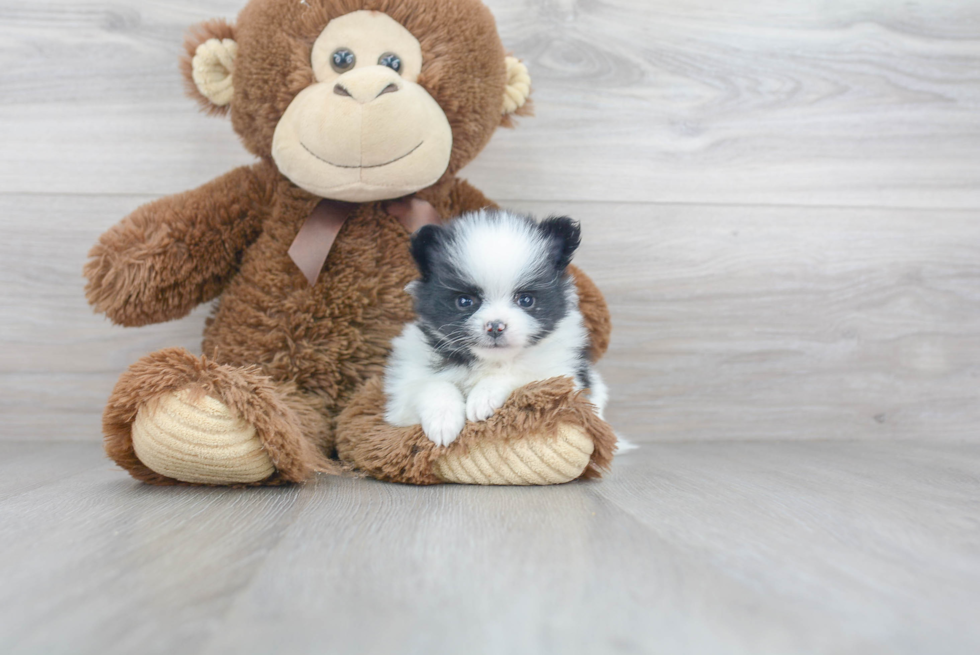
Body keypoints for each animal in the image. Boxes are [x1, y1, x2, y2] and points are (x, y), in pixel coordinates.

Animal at [382, 209, 604, 446]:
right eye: (464, 301)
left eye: (525, 300)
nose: (495, 326)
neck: (491, 361)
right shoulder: (403, 394)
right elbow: (431, 385)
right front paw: (443, 421)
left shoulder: (560, 376)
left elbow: (519, 375)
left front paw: (483, 398)